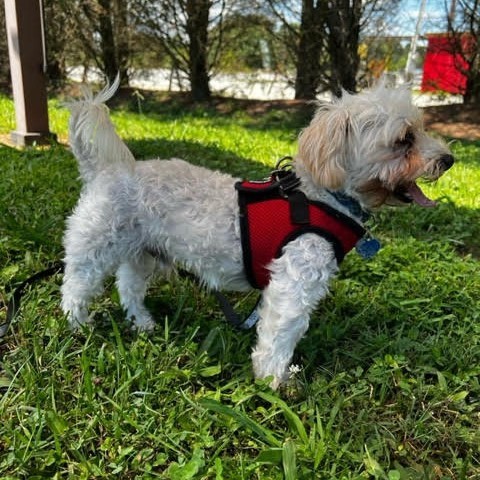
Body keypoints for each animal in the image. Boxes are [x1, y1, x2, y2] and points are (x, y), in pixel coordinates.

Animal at [61, 78, 454, 386]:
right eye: (405, 139)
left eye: (421, 129)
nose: (449, 160)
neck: (323, 195)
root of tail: (104, 170)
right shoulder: (295, 282)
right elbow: (281, 334)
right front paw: (274, 381)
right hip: (97, 243)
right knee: (77, 284)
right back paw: (77, 324)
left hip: (142, 252)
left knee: (128, 286)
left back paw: (142, 323)